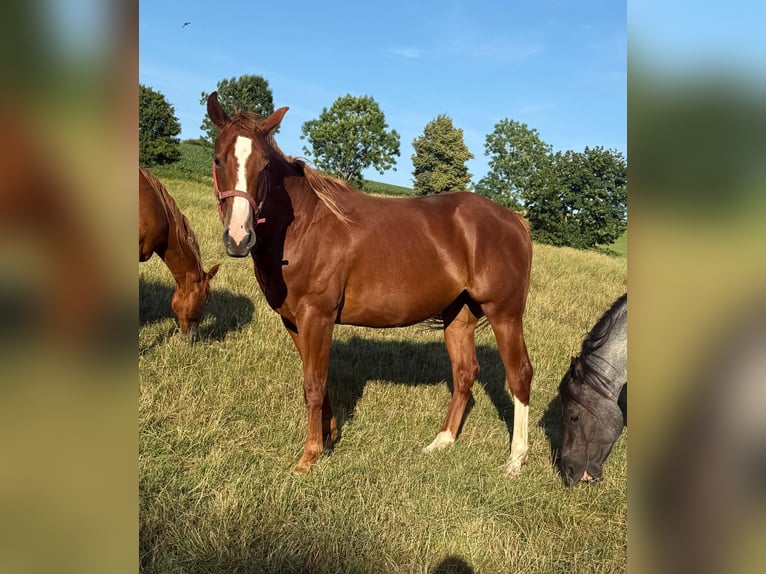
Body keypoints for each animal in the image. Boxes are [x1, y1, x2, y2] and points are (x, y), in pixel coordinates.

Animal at [206, 91, 534, 474]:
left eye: (264, 167)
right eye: (218, 159)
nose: (238, 238)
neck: (304, 226)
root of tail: (514, 220)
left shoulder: (317, 316)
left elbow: (313, 384)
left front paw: (309, 456)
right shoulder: (295, 321)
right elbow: (319, 380)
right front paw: (330, 436)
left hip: (504, 314)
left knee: (520, 375)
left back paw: (515, 459)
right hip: (459, 314)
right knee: (465, 373)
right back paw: (441, 442)